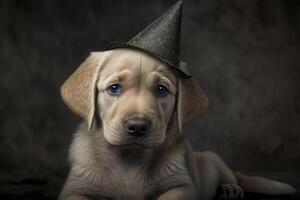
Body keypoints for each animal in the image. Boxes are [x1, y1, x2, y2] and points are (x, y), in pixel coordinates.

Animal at [58, 48, 296, 200]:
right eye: (114, 88)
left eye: (161, 89)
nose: (137, 126)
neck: (130, 158)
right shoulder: (73, 190)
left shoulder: (183, 186)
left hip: (214, 159)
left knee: (233, 178)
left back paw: (230, 189)